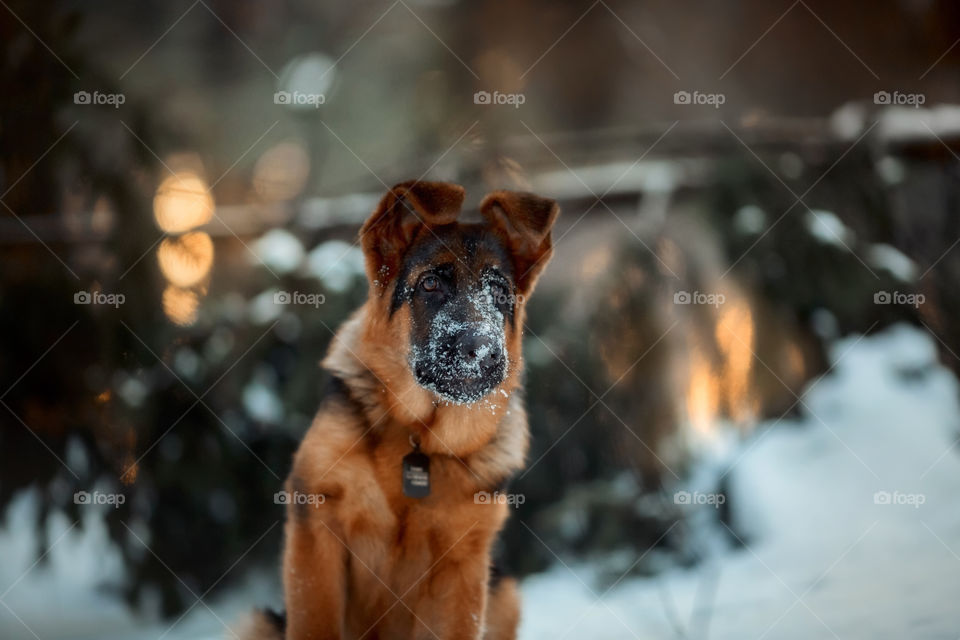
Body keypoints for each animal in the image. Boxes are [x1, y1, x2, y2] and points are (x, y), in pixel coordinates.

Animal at [240, 181, 560, 640]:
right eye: (429, 285)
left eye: (500, 293)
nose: (482, 352)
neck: (418, 435)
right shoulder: (316, 531)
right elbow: (315, 621)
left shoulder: (462, 570)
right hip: (257, 622)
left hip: (505, 592)